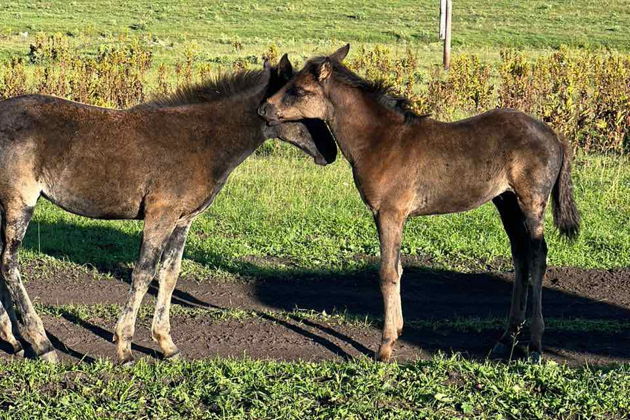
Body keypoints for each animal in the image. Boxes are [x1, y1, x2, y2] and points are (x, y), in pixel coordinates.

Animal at [0, 56, 336, 364]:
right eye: (301, 109)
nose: (331, 153)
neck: (200, 140)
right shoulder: (160, 215)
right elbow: (144, 272)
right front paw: (124, 348)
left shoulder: (182, 220)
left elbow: (169, 274)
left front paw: (167, 344)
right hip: (20, 202)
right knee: (9, 263)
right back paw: (42, 344)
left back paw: (14, 340)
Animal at [262, 44, 584, 362]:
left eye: (298, 90)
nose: (263, 108)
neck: (380, 140)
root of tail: (555, 136)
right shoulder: (390, 216)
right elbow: (398, 268)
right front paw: (398, 330)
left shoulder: (389, 213)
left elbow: (387, 272)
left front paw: (385, 347)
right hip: (506, 202)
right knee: (520, 255)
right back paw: (506, 339)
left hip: (531, 201)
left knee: (537, 255)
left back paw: (535, 346)